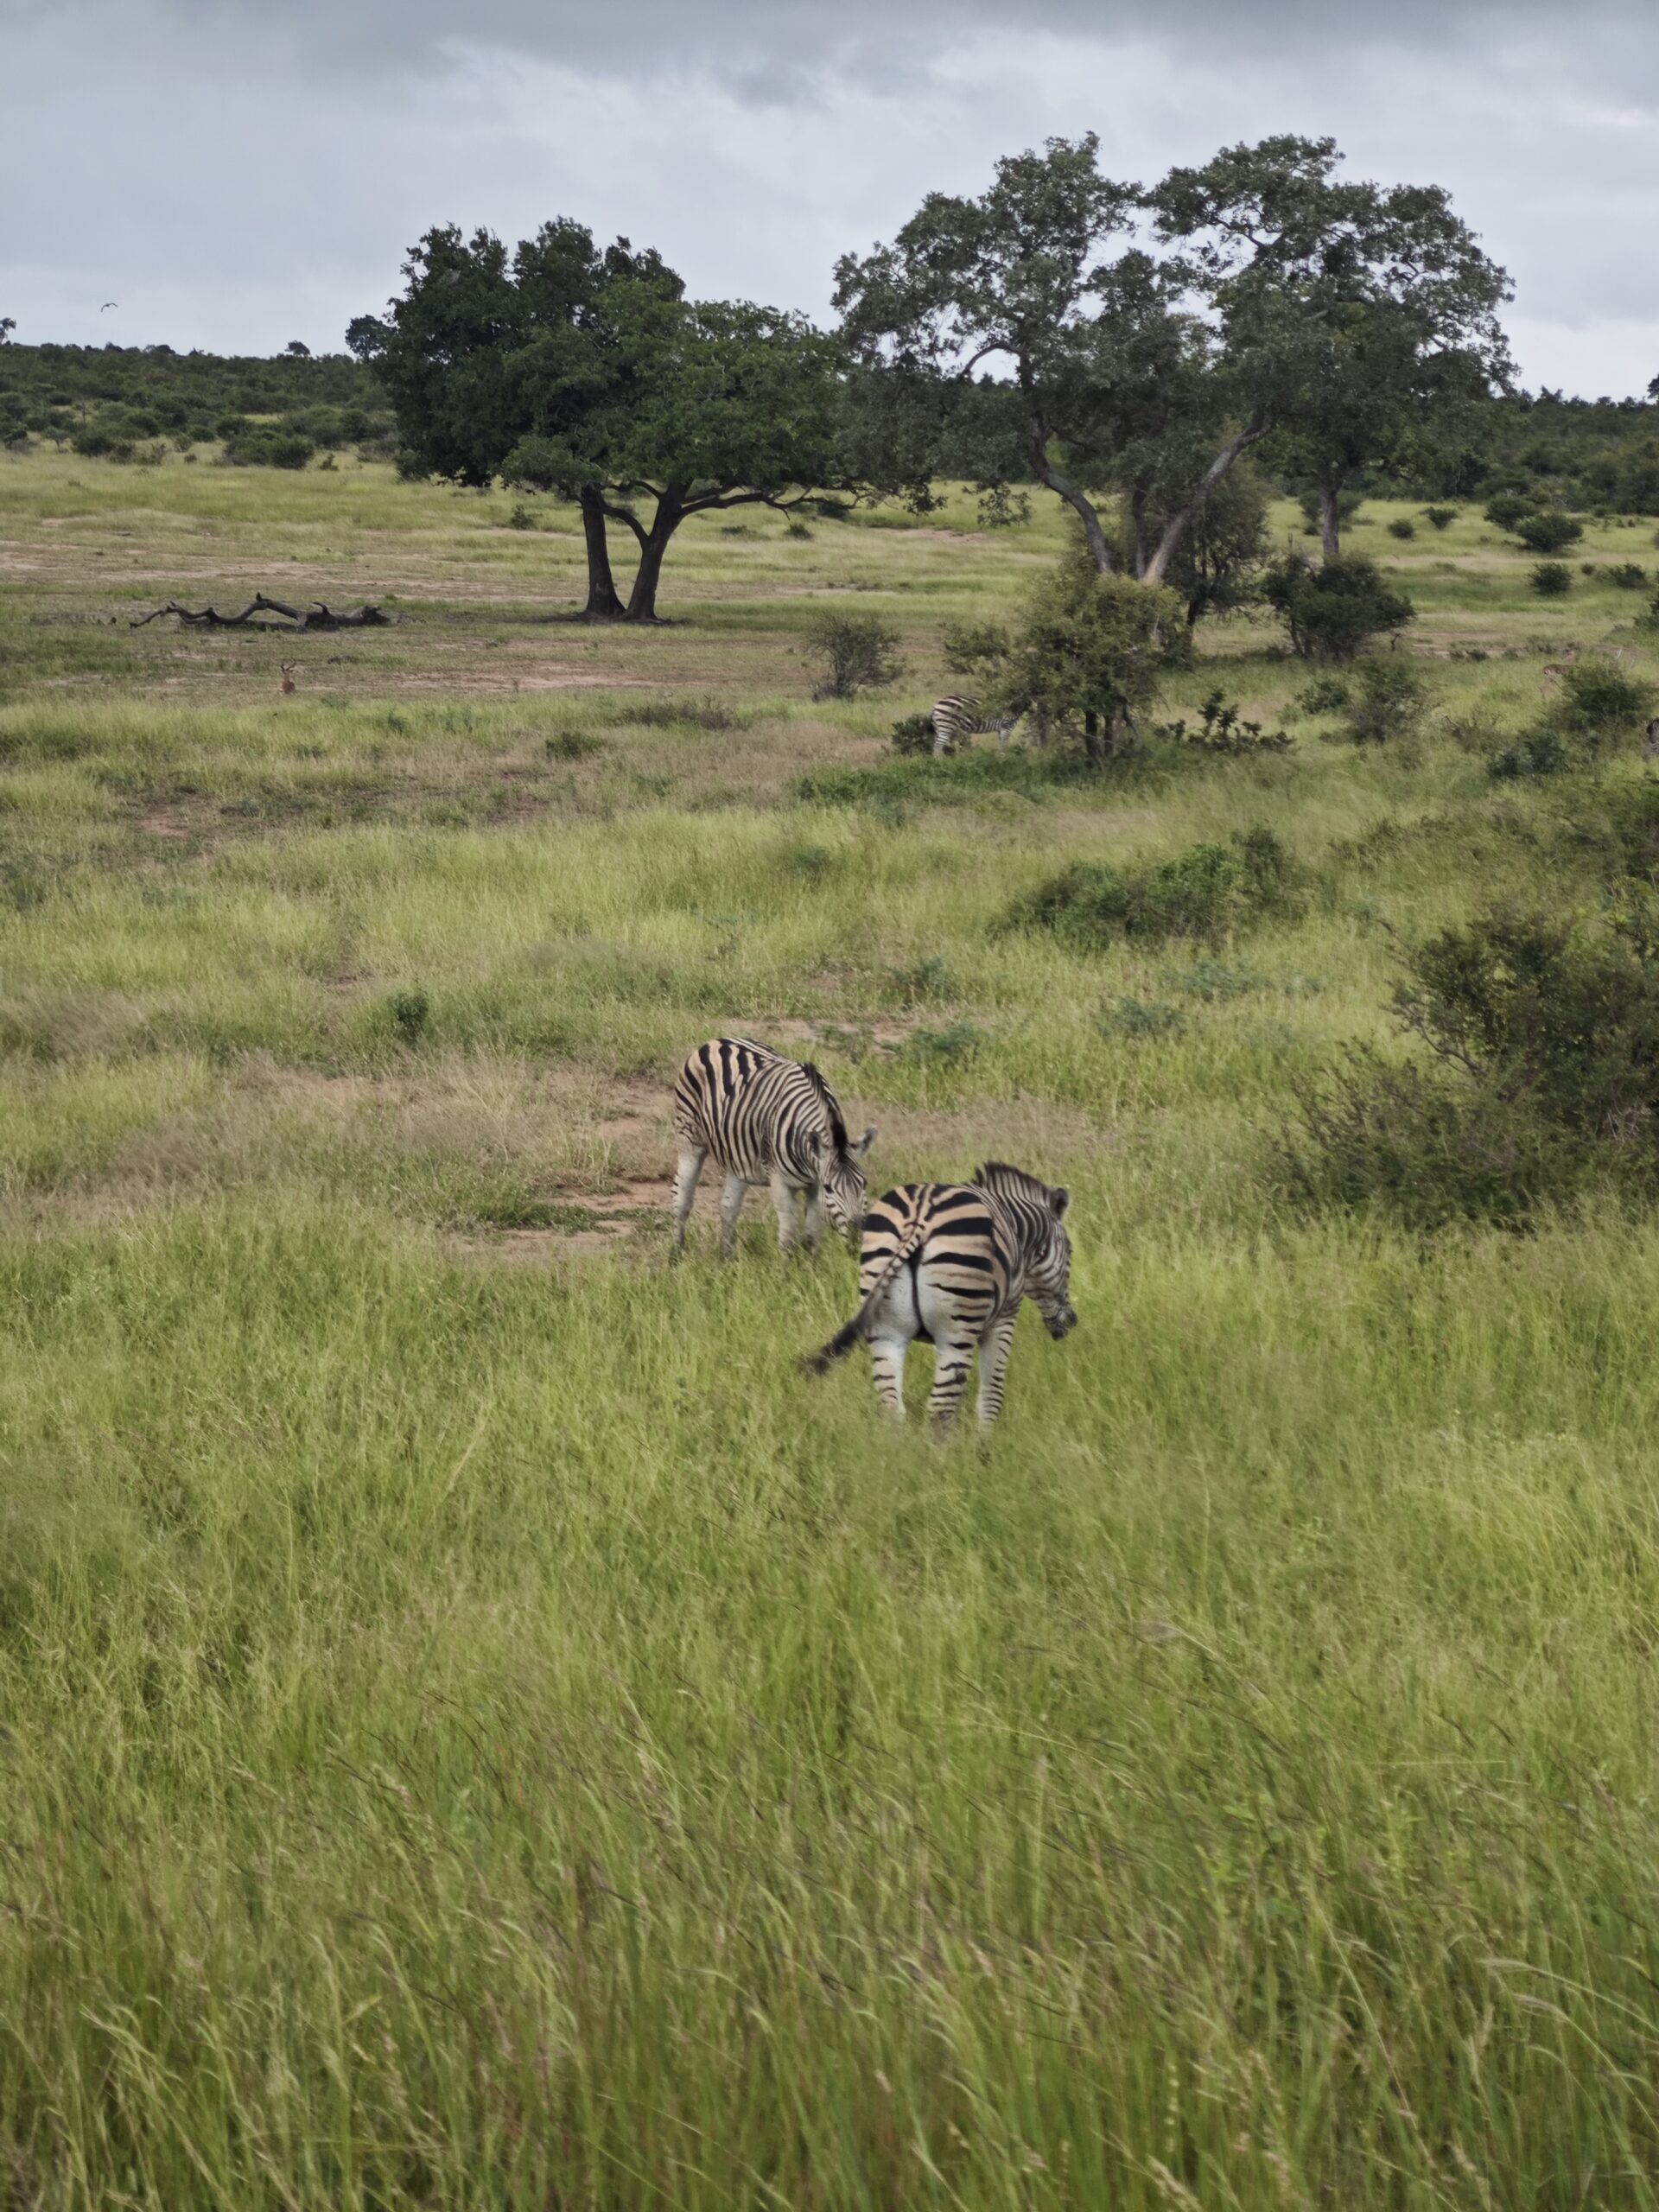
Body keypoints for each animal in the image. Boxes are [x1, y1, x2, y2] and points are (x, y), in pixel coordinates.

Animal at [671, 1037, 875, 1260]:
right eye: (830, 1188)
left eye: (864, 1184)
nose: (857, 1241)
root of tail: (718, 1041)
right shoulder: (779, 1180)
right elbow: (788, 1236)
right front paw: (786, 1268)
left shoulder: (814, 1184)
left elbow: (812, 1236)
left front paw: (812, 1267)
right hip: (690, 1139)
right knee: (681, 1199)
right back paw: (675, 1256)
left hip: (738, 1154)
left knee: (728, 1206)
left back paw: (727, 1260)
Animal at [801, 1161, 1076, 1426]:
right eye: (1070, 1253)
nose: (1072, 1321)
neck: (1017, 1229)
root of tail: (918, 1218)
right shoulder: (1004, 1319)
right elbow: (991, 1397)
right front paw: (985, 1441)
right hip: (956, 1330)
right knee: (940, 1408)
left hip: (886, 1328)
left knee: (893, 1407)